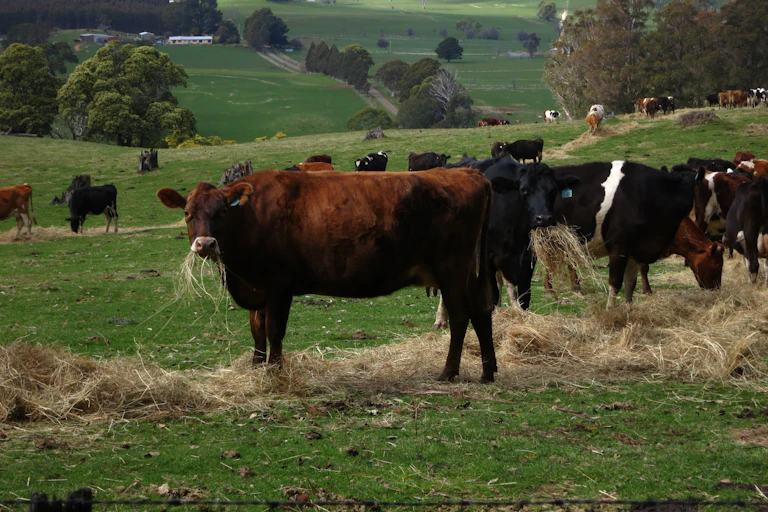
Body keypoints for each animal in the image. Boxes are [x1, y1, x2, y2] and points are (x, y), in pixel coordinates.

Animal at [157, 169, 498, 382]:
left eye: (221, 212)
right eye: (187, 213)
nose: (205, 244)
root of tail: (467, 173)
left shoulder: (278, 285)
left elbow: (274, 331)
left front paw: (274, 372)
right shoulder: (257, 288)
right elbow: (256, 330)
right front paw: (255, 368)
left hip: (451, 268)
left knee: (461, 316)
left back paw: (449, 372)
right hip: (468, 271)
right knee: (481, 312)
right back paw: (487, 372)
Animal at [432, 160, 580, 328]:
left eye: (553, 190)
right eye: (523, 190)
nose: (544, 218)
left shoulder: (527, 260)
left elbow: (523, 296)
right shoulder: (487, 259)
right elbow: (493, 295)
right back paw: (441, 319)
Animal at [550, 161, 705, 308]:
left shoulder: (634, 249)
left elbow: (630, 283)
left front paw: (628, 308)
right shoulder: (619, 248)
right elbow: (615, 283)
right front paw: (611, 311)